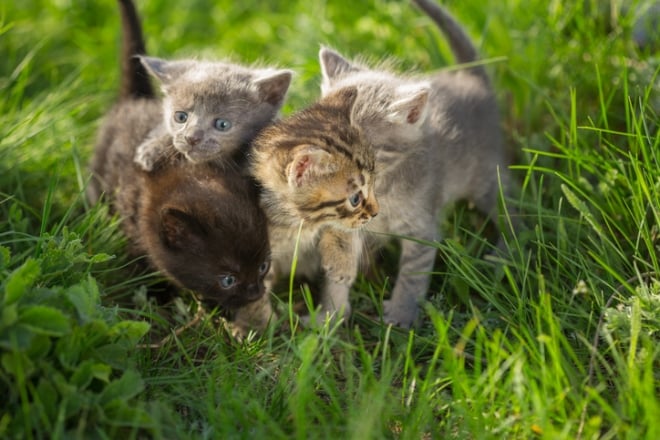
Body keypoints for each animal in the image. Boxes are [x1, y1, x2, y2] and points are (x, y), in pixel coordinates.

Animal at [236, 86, 382, 328]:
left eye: (373, 184)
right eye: (355, 199)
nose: (376, 212)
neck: (296, 223)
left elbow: (341, 227)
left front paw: (341, 258)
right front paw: (256, 326)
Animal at [318, 0, 512, 326]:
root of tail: (469, 78)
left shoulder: (422, 229)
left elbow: (412, 274)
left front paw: (402, 313)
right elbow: (337, 270)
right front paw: (329, 317)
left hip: (488, 179)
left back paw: (510, 252)